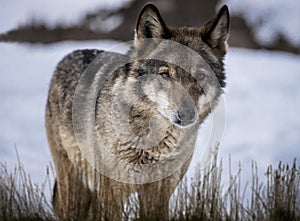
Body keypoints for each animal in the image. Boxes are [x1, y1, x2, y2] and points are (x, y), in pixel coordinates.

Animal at [45, 3, 230, 221]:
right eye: (166, 74)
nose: (186, 114)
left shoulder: (159, 194)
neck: (154, 145)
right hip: (73, 188)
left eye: (200, 76)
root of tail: (68, 56)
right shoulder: (112, 193)